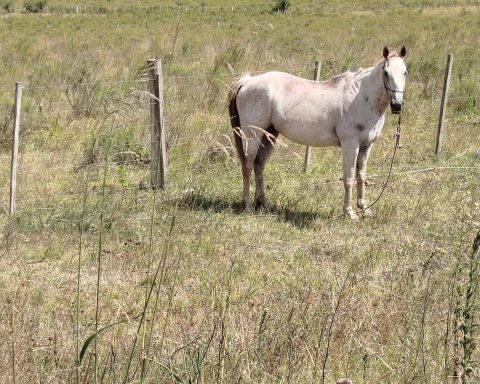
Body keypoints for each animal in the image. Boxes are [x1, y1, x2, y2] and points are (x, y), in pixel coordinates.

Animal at [227, 46, 406, 219]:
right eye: (386, 72)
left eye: (405, 72)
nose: (397, 105)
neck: (362, 96)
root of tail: (247, 81)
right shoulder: (350, 145)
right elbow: (349, 179)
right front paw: (349, 212)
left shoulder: (366, 146)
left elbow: (361, 176)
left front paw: (364, 208)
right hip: (252, 135)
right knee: (247, 165)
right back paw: (247, 205)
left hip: (269, 134)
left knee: (259, 165)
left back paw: (262, 203)